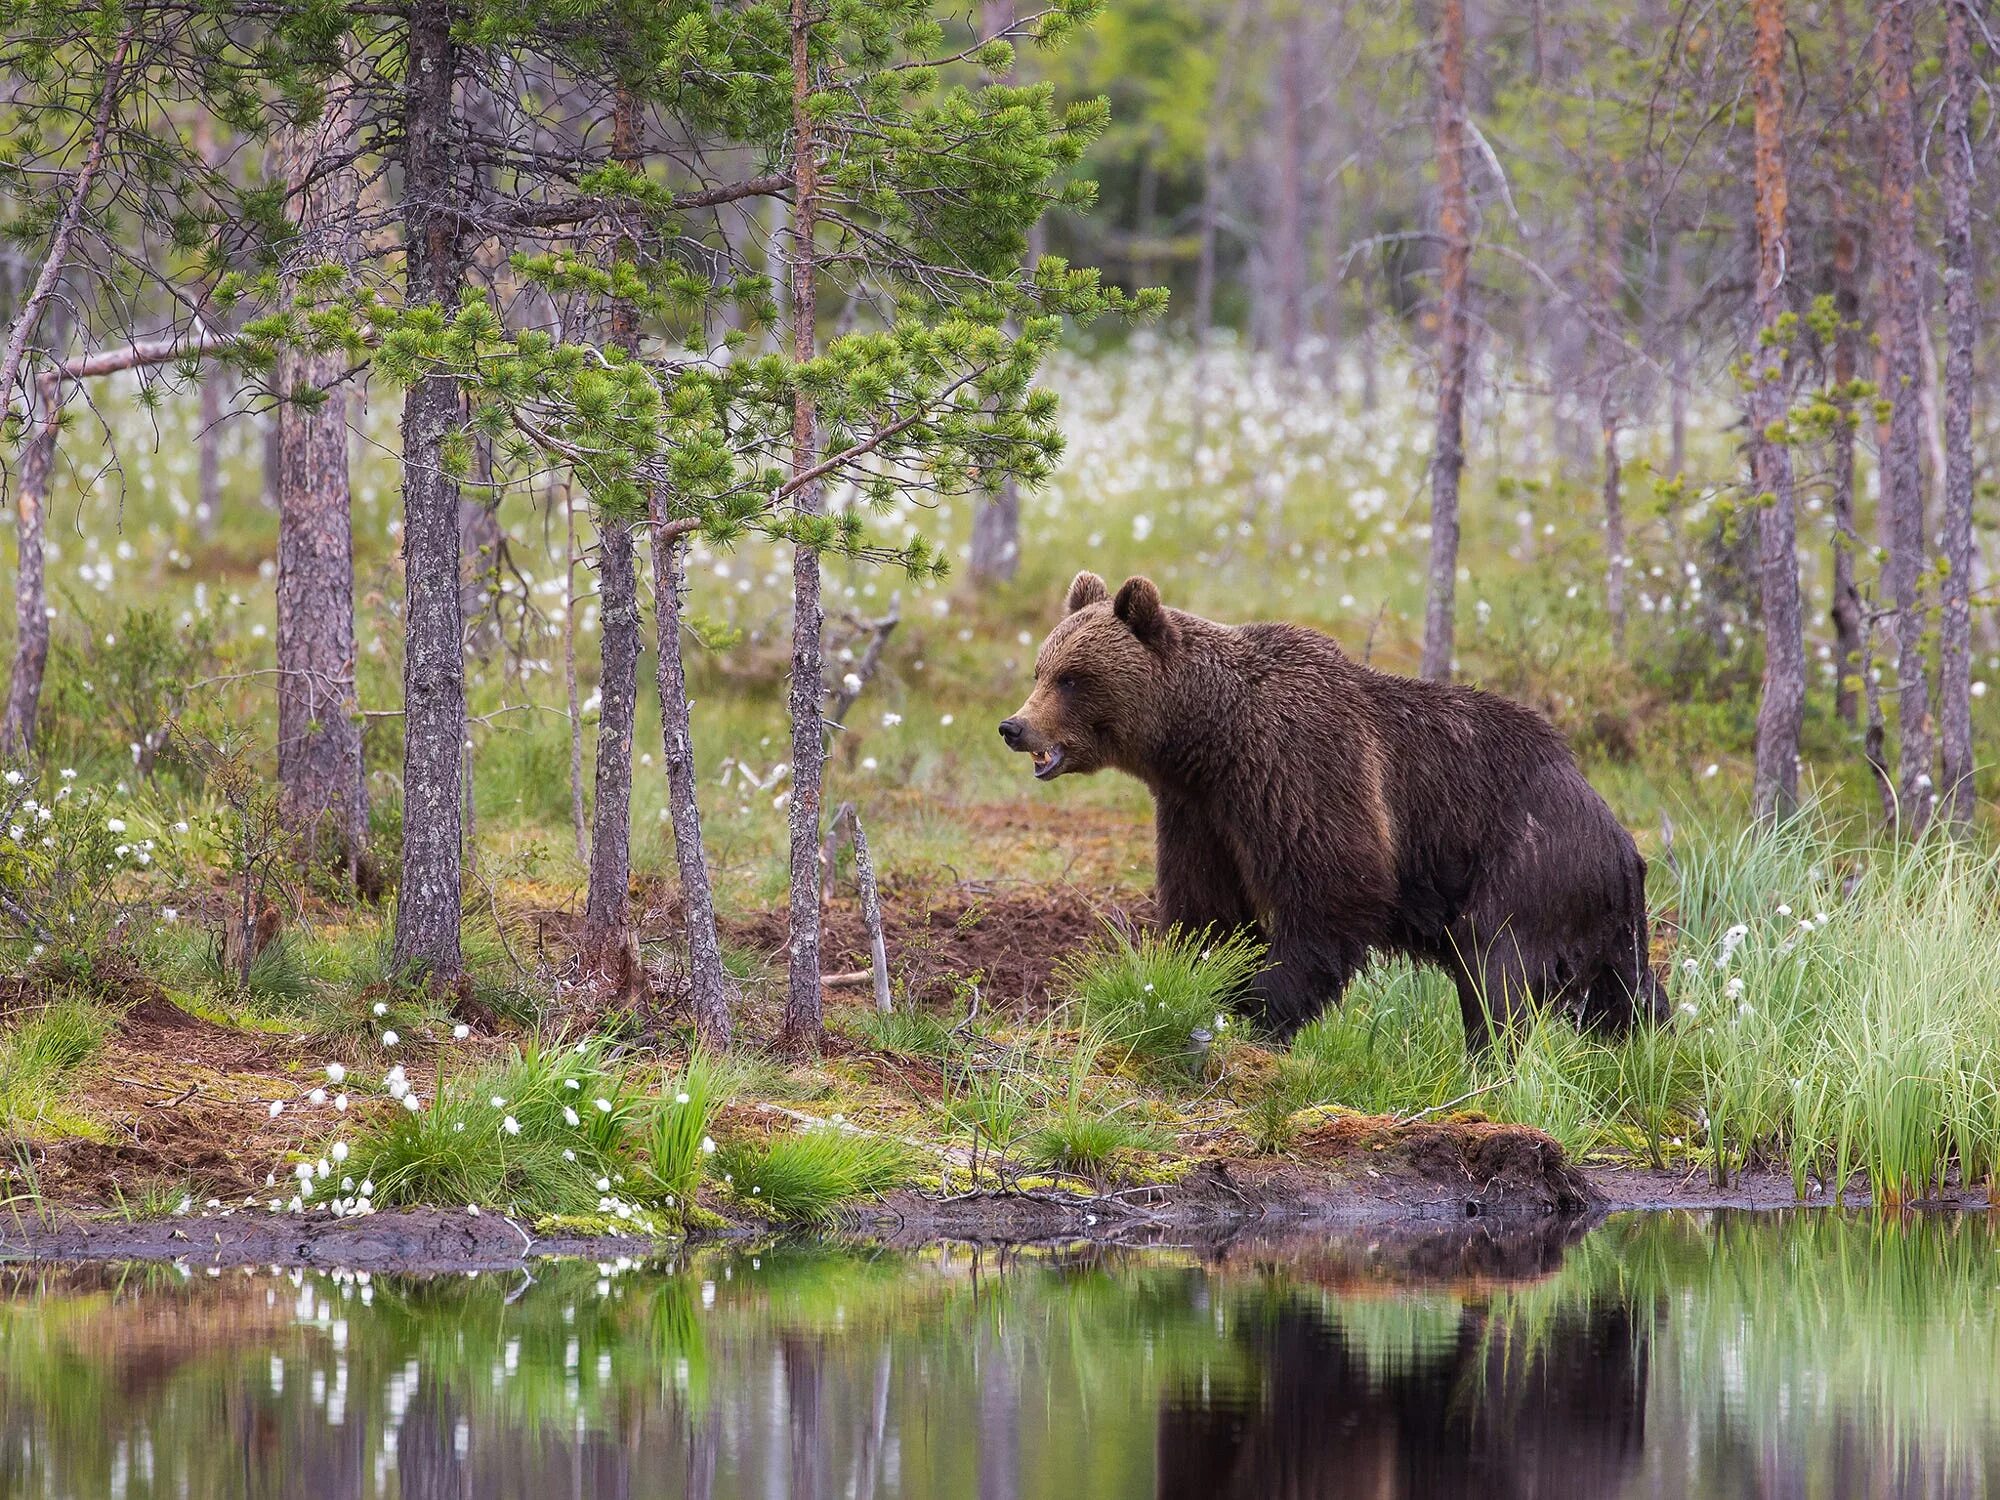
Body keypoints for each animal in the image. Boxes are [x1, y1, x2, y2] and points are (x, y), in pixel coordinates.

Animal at [1000, 568, 1672, 1048]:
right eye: (1040, 669)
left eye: (1071, 678)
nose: (1015, 726)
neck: (1210, 742)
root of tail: (1614, 828)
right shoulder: (1202, 812)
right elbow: (1206, 908)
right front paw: (1202, 981)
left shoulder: (1302, 770)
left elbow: (1333, 889)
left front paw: (1257, 1008)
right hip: (1601, 911)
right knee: (1625, 991)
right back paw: (1646, 1044)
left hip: (1526, 861)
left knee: (1496, 971)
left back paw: (1491, 1057)